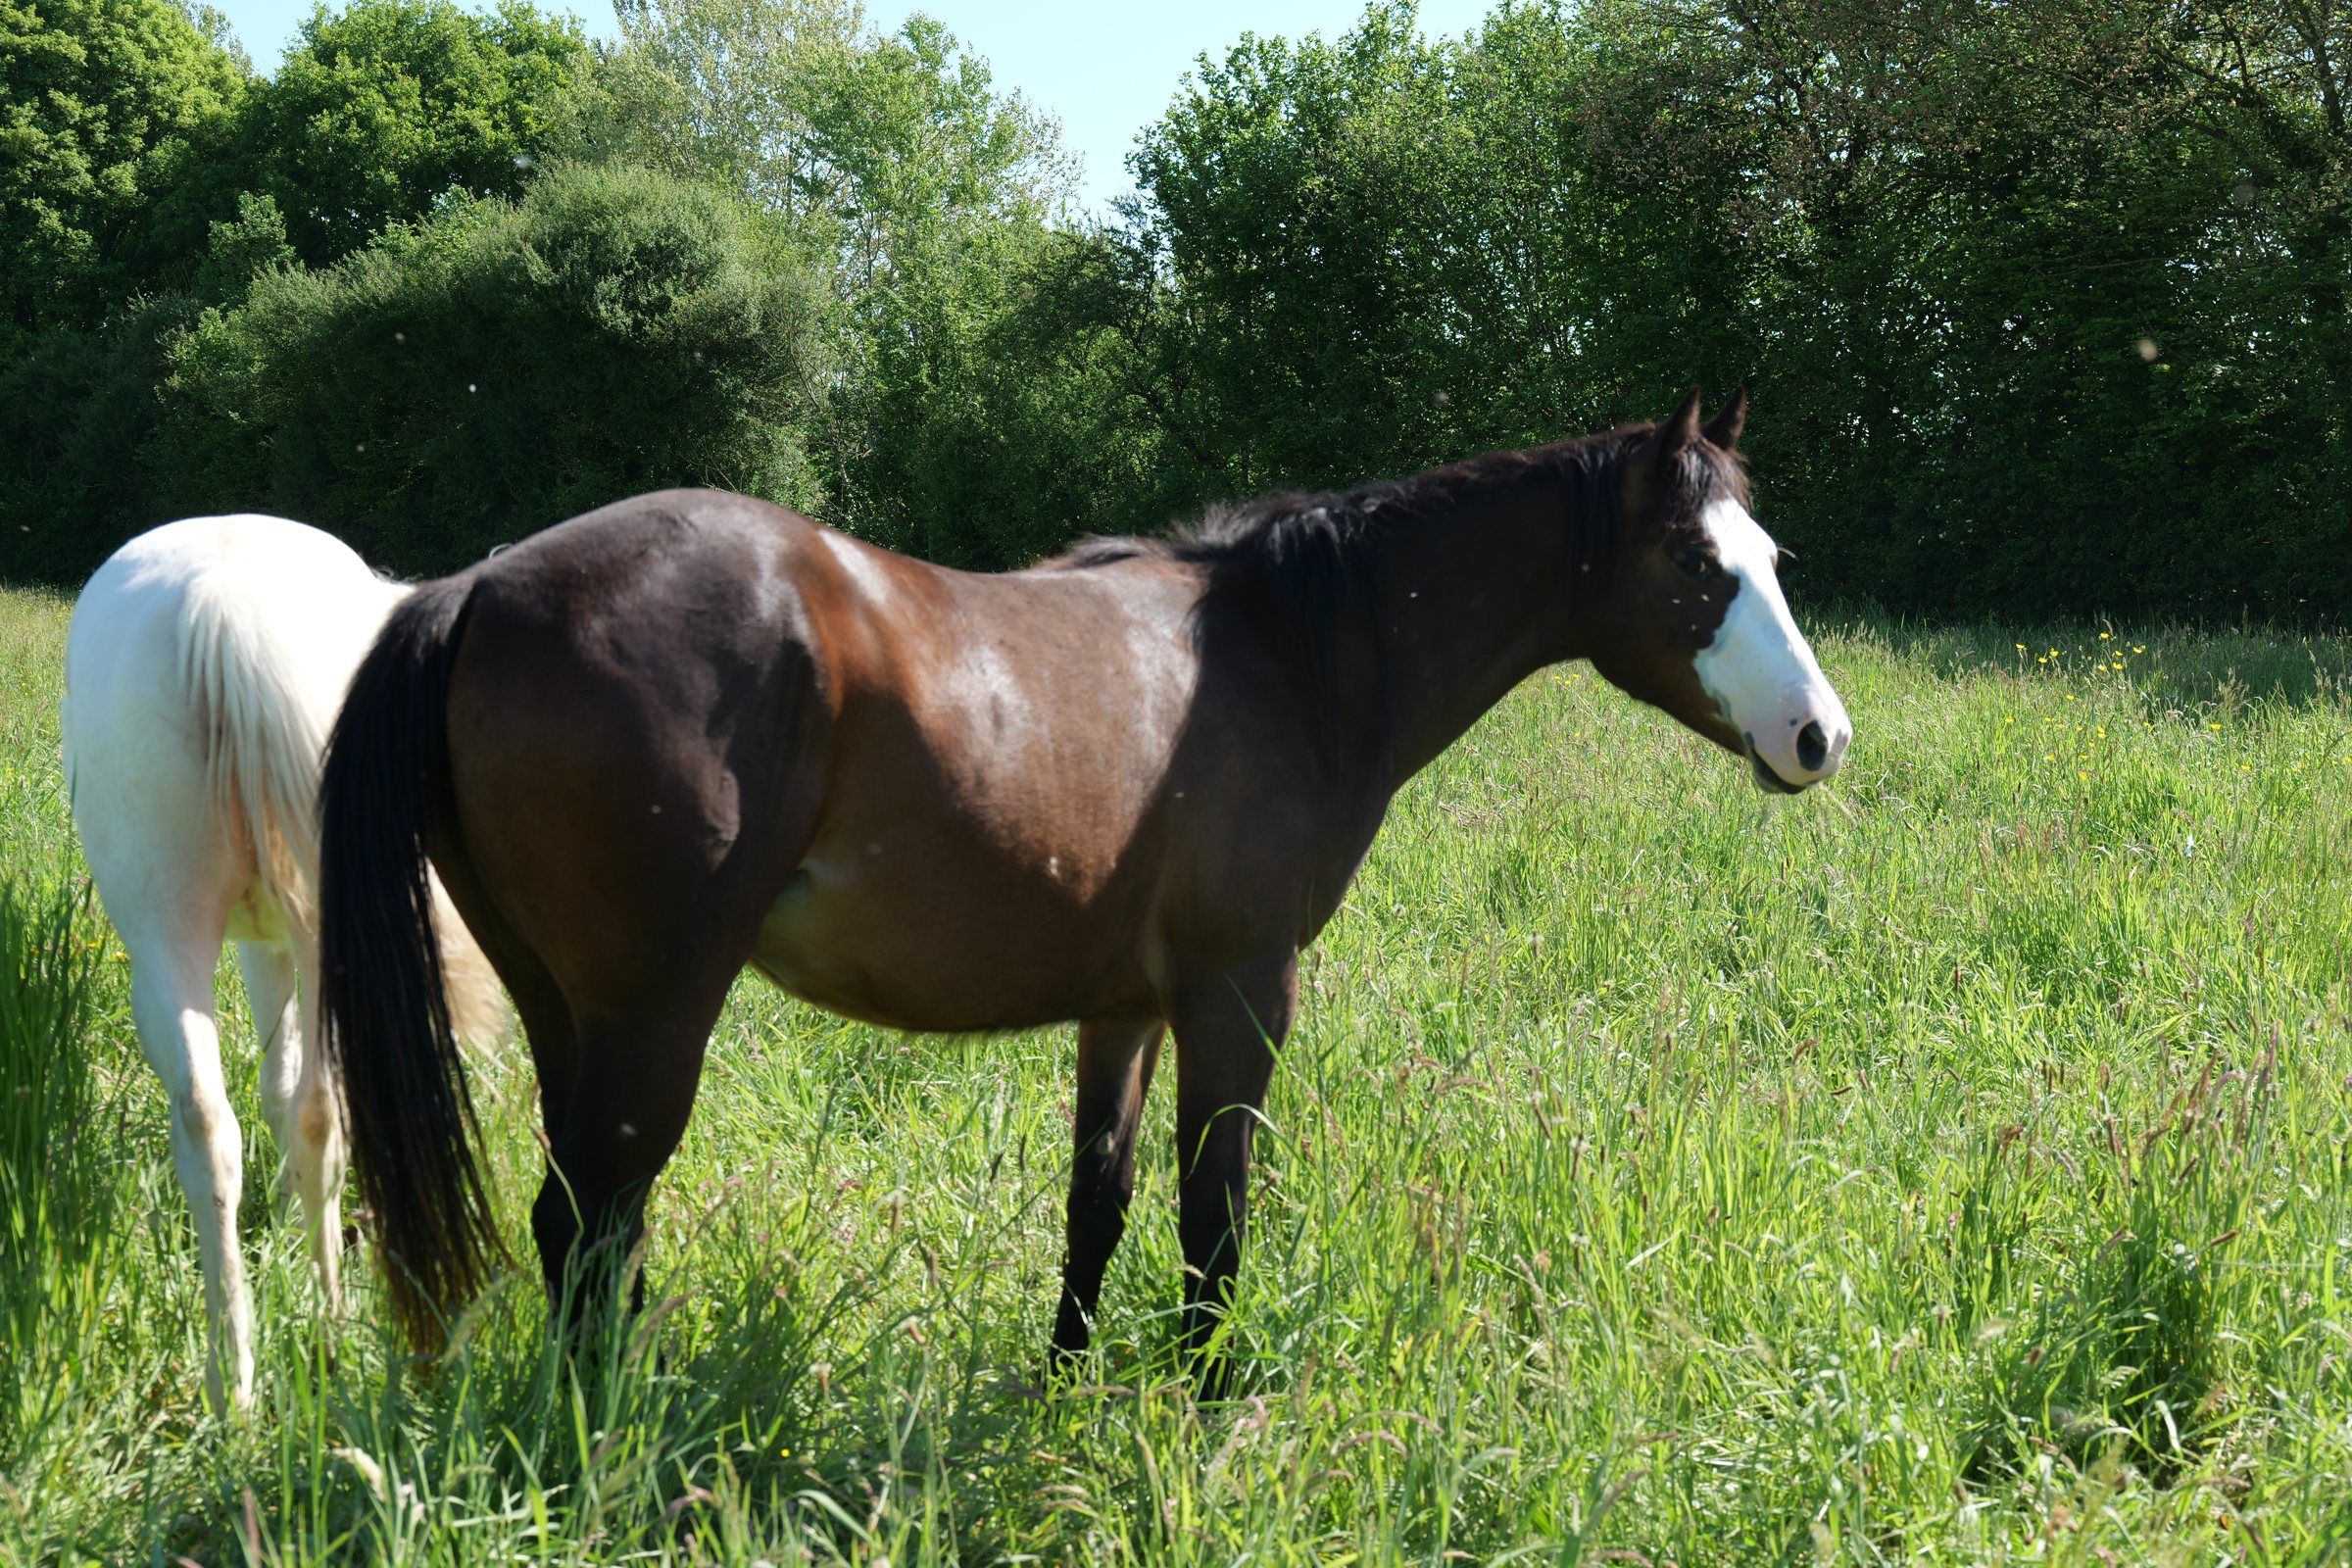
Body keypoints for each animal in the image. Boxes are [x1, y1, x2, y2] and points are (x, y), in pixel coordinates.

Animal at [61, 515, 507, 1411]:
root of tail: (224, 607)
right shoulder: (273, 938)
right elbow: (282, 1089)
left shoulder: (265, 938)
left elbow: (274, 1086)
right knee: (292, 1117)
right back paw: (298, 1342)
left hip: (173, 929)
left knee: (233, 1122)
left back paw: (257, 1360)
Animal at [318, 388, 1850, 1382]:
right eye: (1696, 563)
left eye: (1774, 558)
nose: (1819, 738)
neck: (1289, 657)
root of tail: (476, 587)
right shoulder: (1242, 994)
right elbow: (1212, 1221)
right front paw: (1209, 1417)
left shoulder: (1126, 1007)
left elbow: (1096, 1207)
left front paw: (1065, 1399)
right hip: (654, 1015)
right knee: (586, 1223)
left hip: (568, 1014)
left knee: (595, 1229)